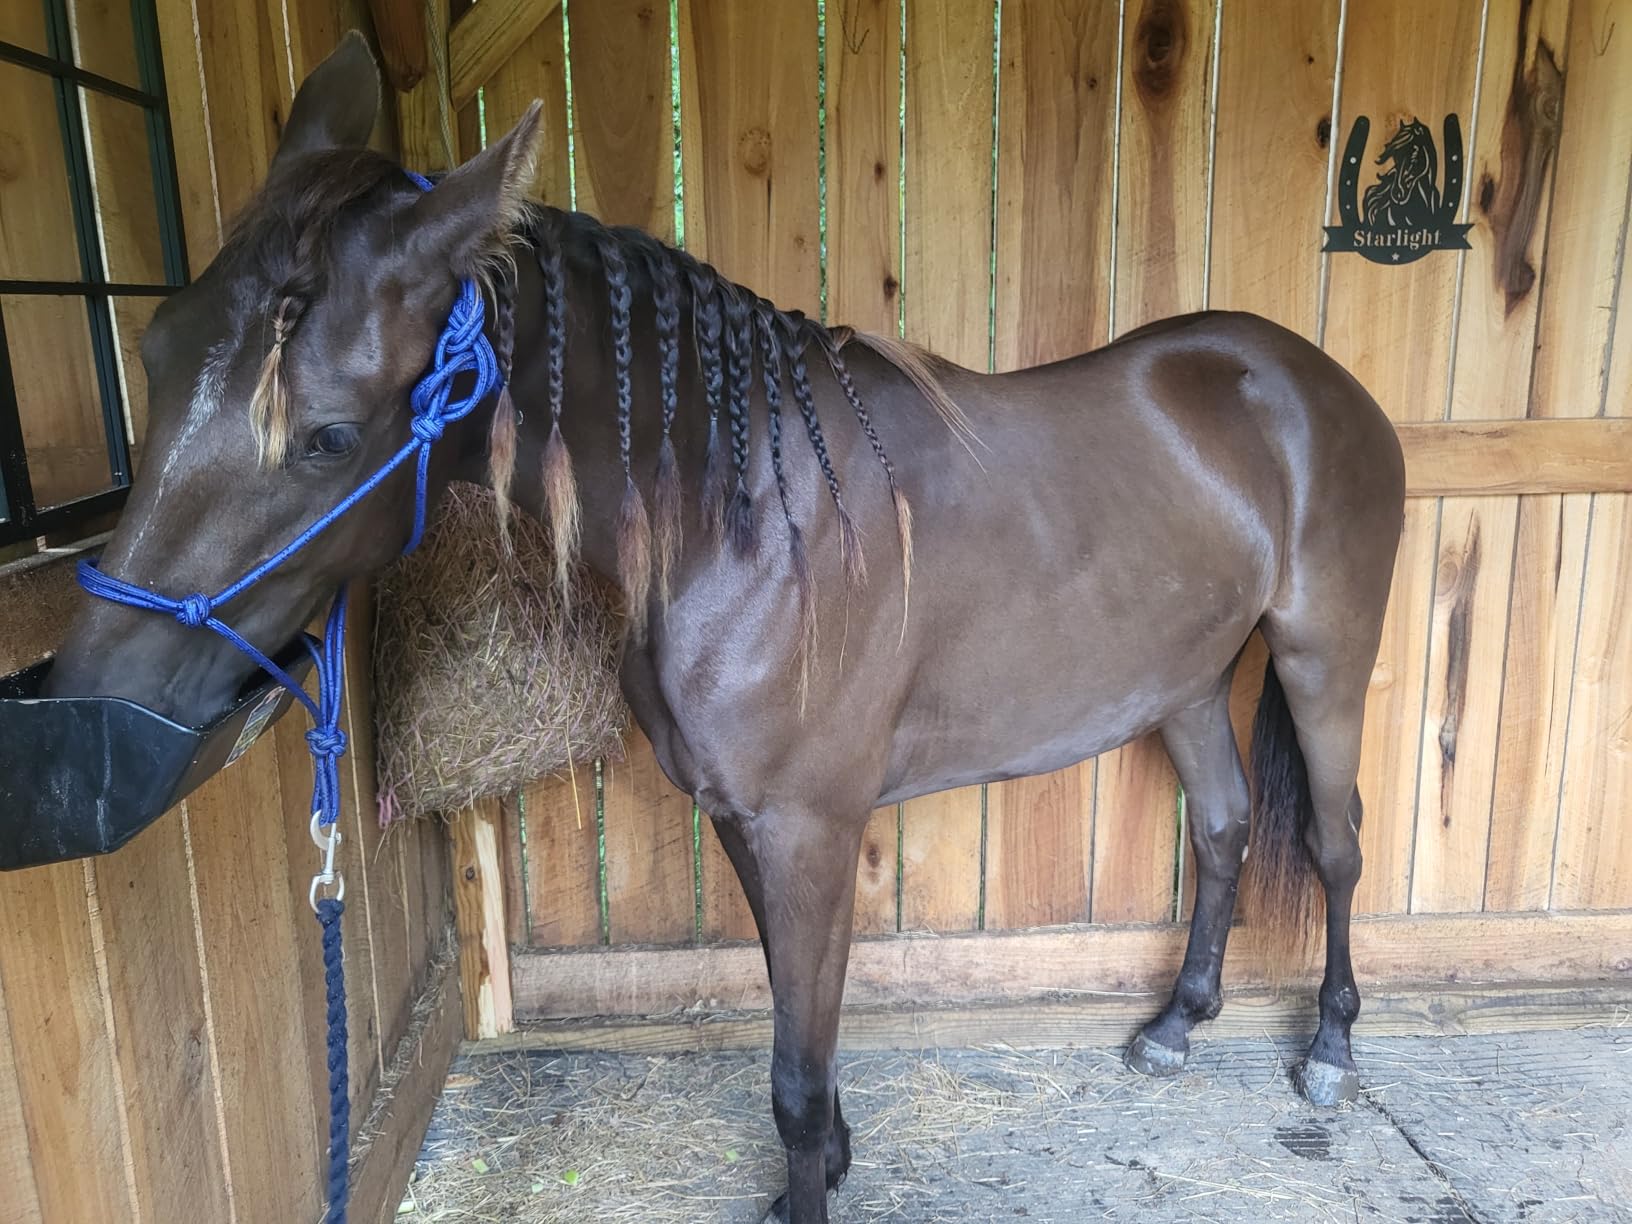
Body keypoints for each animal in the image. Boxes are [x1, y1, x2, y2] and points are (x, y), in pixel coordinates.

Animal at [46, 35, 1405, 1224]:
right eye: (153, 351)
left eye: (325, 435)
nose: (87, 731)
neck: (750, 516)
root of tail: (1305, 378)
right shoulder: (748, 824)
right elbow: (799, 1029)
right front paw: (830, 1166)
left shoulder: (810, 831)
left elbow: (795, 1075)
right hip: (1182, 680)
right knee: (1223, 829)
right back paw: (1177, 1024)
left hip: (1322, 660)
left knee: (1334, 847)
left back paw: (1331, 1052)